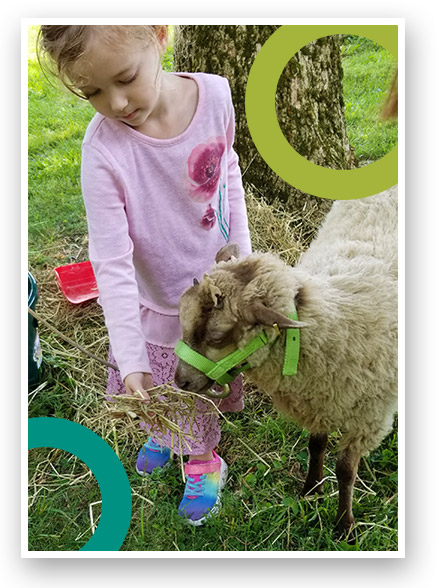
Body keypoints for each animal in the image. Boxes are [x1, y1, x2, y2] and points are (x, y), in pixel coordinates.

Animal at [175, 187, 398, 536]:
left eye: (217, 337)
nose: (179, 380)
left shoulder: (369, 418)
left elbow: (346, 470)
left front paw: (344, 526)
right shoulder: (319, 398)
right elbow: (315, 445)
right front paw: (311, 490)